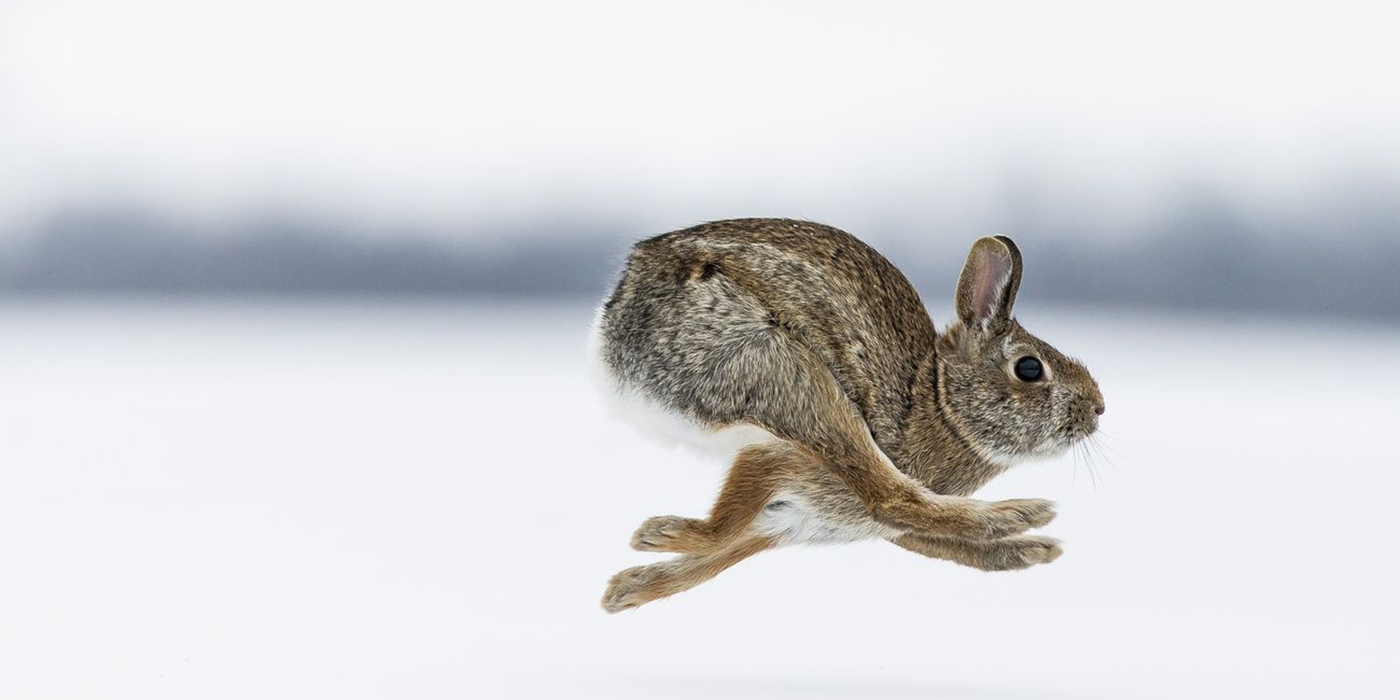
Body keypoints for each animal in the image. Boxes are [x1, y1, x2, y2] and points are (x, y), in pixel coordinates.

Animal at [585, 218, 1097, 613]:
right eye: (1029, 368)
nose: (1097, 409)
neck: (937, 400)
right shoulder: (776, 461)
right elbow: (727, 527)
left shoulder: (793, 520)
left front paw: (629, 585)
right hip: (783, 370)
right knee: (888, 496)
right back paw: (1021, 512)